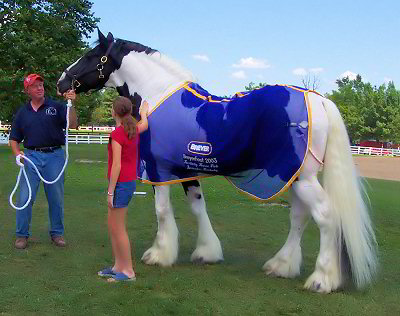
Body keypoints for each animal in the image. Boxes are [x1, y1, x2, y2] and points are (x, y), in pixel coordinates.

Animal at [57, 30, 376, 294]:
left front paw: (159, 254)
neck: (156, 95)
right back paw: (281, 265)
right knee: (299, 217)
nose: (62, 82)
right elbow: (198, 207)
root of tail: (317, 99)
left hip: (303, 178)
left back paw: (322, 279)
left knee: (326, 215)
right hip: (294, 177)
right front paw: (206, 252)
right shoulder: (186, 172)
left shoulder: (159, 170)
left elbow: (162, 211)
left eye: (91, 55)